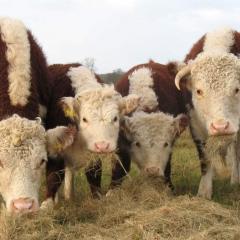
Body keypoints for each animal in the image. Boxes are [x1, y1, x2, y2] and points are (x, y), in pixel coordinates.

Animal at [41, 63, 139, 208]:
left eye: (115, 118)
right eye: (84, 119)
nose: (103, 145)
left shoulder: (92, 154)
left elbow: (93, 175)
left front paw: (97, 198)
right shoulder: (55, 149)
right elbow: (53, 176)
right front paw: (47, 204)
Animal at [173, 27, 240, 199]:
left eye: (237, 89)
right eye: (199, 91)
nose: (220, 126)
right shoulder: (195, 126)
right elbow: (205, 158)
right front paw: (204, 191)